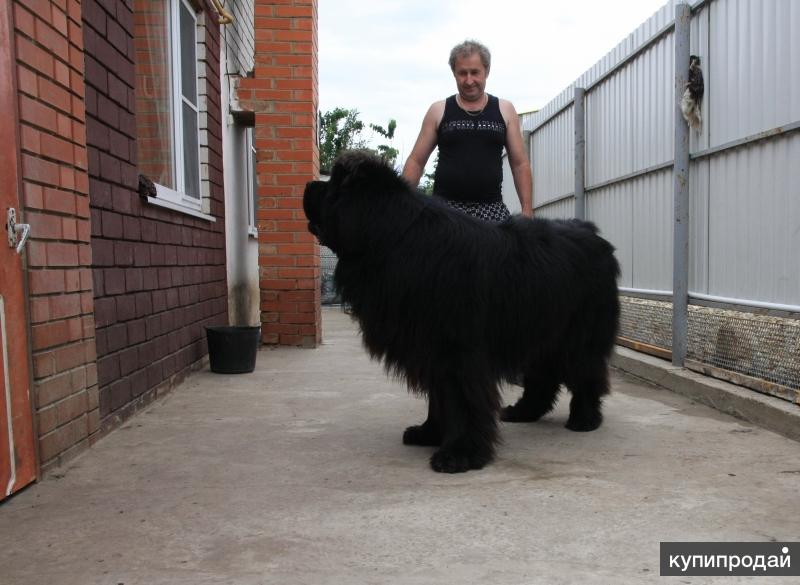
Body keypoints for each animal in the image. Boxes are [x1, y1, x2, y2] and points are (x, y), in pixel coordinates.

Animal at [304, 152, 620, 474]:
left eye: (334, 187)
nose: (307, 185)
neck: (396, 240)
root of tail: (591, 232)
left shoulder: (457, 351)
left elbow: (461, 400)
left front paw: (459, 453)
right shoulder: (430, 348)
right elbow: (439, 397)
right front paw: (429, 433)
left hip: (578, 333)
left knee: (586, 371)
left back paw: (584, 418)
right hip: (541, 330)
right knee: (543, 375)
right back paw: (523, 411)